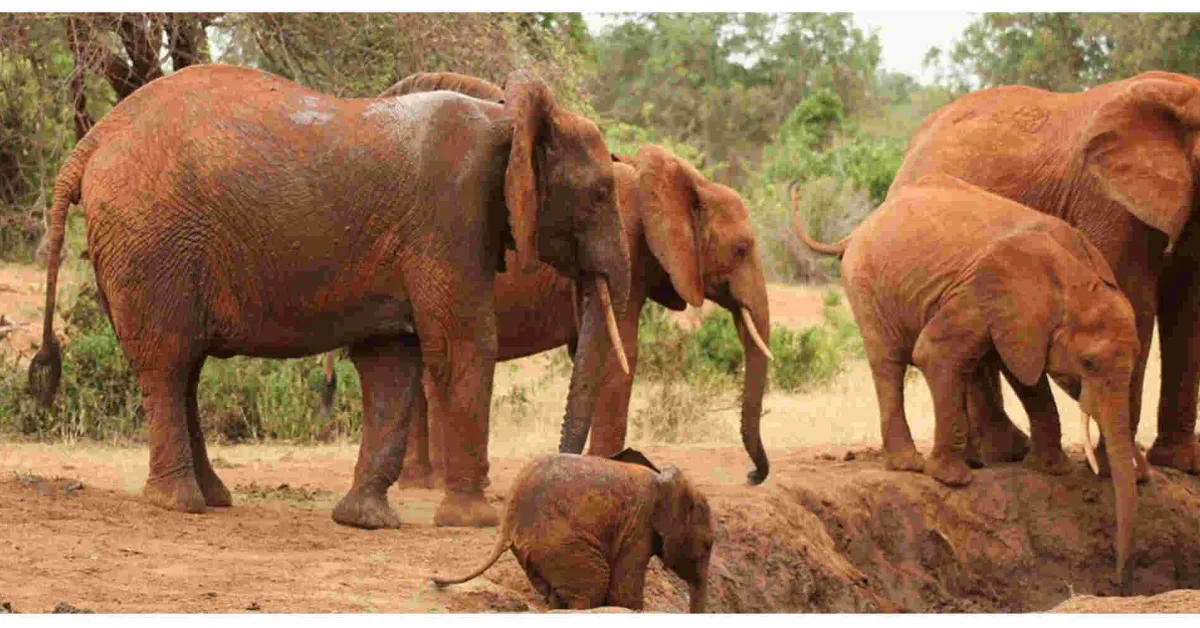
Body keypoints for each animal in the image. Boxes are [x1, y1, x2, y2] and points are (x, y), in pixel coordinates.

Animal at [26, 63, 632, 530]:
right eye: (602, 194)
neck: (506, 118)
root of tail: (93, 141)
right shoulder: (450, 215)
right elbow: (463, 345)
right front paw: (472, 521)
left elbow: (391, 361)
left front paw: (365, 521)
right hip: (151, 238)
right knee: (169, 362)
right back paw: (180, 504)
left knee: (184, 367)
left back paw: (213, 498)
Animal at [321, 71, 772, 489]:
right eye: (741, 250)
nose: (752, 475)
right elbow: (621, 357)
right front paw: (614, 466)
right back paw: (438, 483)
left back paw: (422, 483)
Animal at [431, 450, 713, 613]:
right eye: (708, 544)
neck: (666, 481)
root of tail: (506, 521)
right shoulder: (639, 527)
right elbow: (624, 592)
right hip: (557, 541)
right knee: (593, 582)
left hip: (534, 550)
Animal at [793, 174, 1140, 594]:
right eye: (1088, 362)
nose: (1119, 582)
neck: (1072, 274)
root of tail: (855, 231)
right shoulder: (976, 292)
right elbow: (934, 353)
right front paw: (952, 479)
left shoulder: (1015, 316)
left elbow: (1023, 373)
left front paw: (1048, 468)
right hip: (866, 286)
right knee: (888, 363)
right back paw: (911, 464)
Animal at [890, 71, 1200, 476]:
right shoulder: (1107, 201)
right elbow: (1135, 300)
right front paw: (1128, 472)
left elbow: (1187, 308)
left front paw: (1181, 465)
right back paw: (1001, 453)